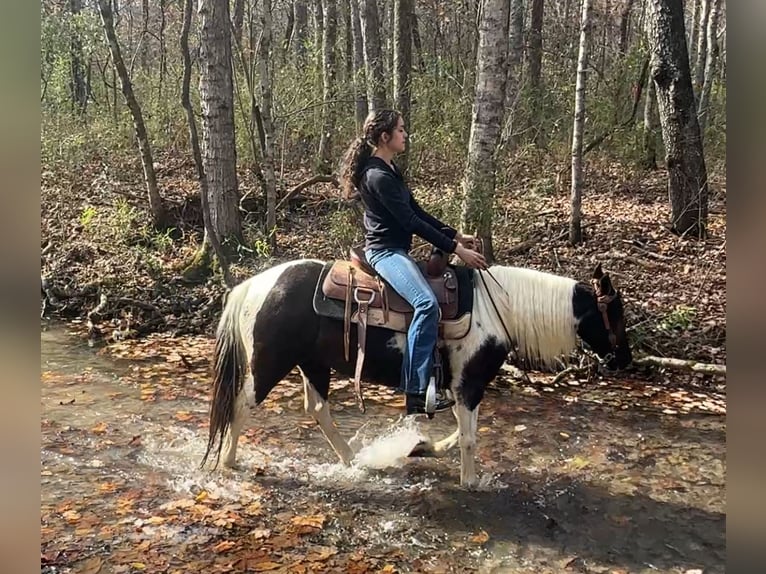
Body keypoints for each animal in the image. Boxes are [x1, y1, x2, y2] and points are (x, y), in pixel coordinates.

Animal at [201, 258, 632, 487]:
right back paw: (229, 463)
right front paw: (470, 482)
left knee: (319, 410)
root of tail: (251, 286)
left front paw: (422, 447)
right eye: (616, 311)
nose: (625, 360)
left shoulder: (463, 387)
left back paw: (354, 461)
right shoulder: (469, 385)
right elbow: (469, 437)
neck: (498, 310)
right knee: (241, 406)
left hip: (314, 365)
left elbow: (462, 431)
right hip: (268, 365)